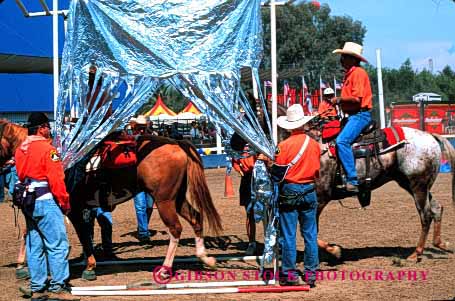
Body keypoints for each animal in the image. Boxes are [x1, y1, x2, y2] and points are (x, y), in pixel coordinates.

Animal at [0, 119, 223, 278]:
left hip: (164, 200)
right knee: (196, 217)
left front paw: (90, 266)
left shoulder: (73, 209)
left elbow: (82, 236)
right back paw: (205, 258)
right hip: (176, 198)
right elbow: (29, 233)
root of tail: (176, 143)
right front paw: (21, 265)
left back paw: (165, 269)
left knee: (175, 228)